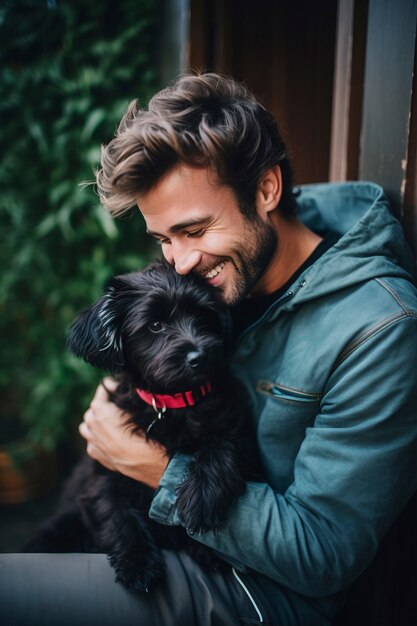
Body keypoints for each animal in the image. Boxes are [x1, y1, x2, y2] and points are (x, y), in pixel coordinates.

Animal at [24, 258, 258, 588]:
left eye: (203, 316)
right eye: (155, 325)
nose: (199, 356)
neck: (176, 403)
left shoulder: (240, 429)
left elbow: (224, 444)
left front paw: (202, 500)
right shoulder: (103, 476)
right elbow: (117, 514)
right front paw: (138, 561)